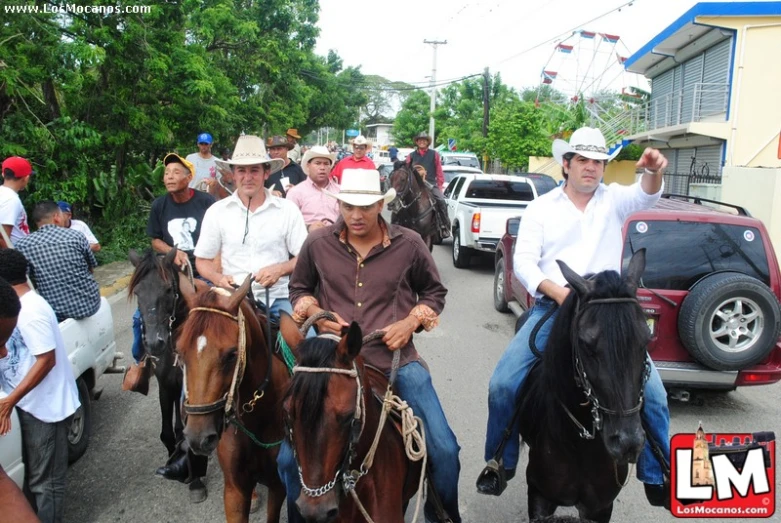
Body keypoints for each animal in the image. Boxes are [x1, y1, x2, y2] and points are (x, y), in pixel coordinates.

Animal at [516, 252, 652, 520]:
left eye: (646, 340)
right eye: (587, 345)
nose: (627, 443)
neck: (580, 445)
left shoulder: (599, 507)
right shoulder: (539, 496)